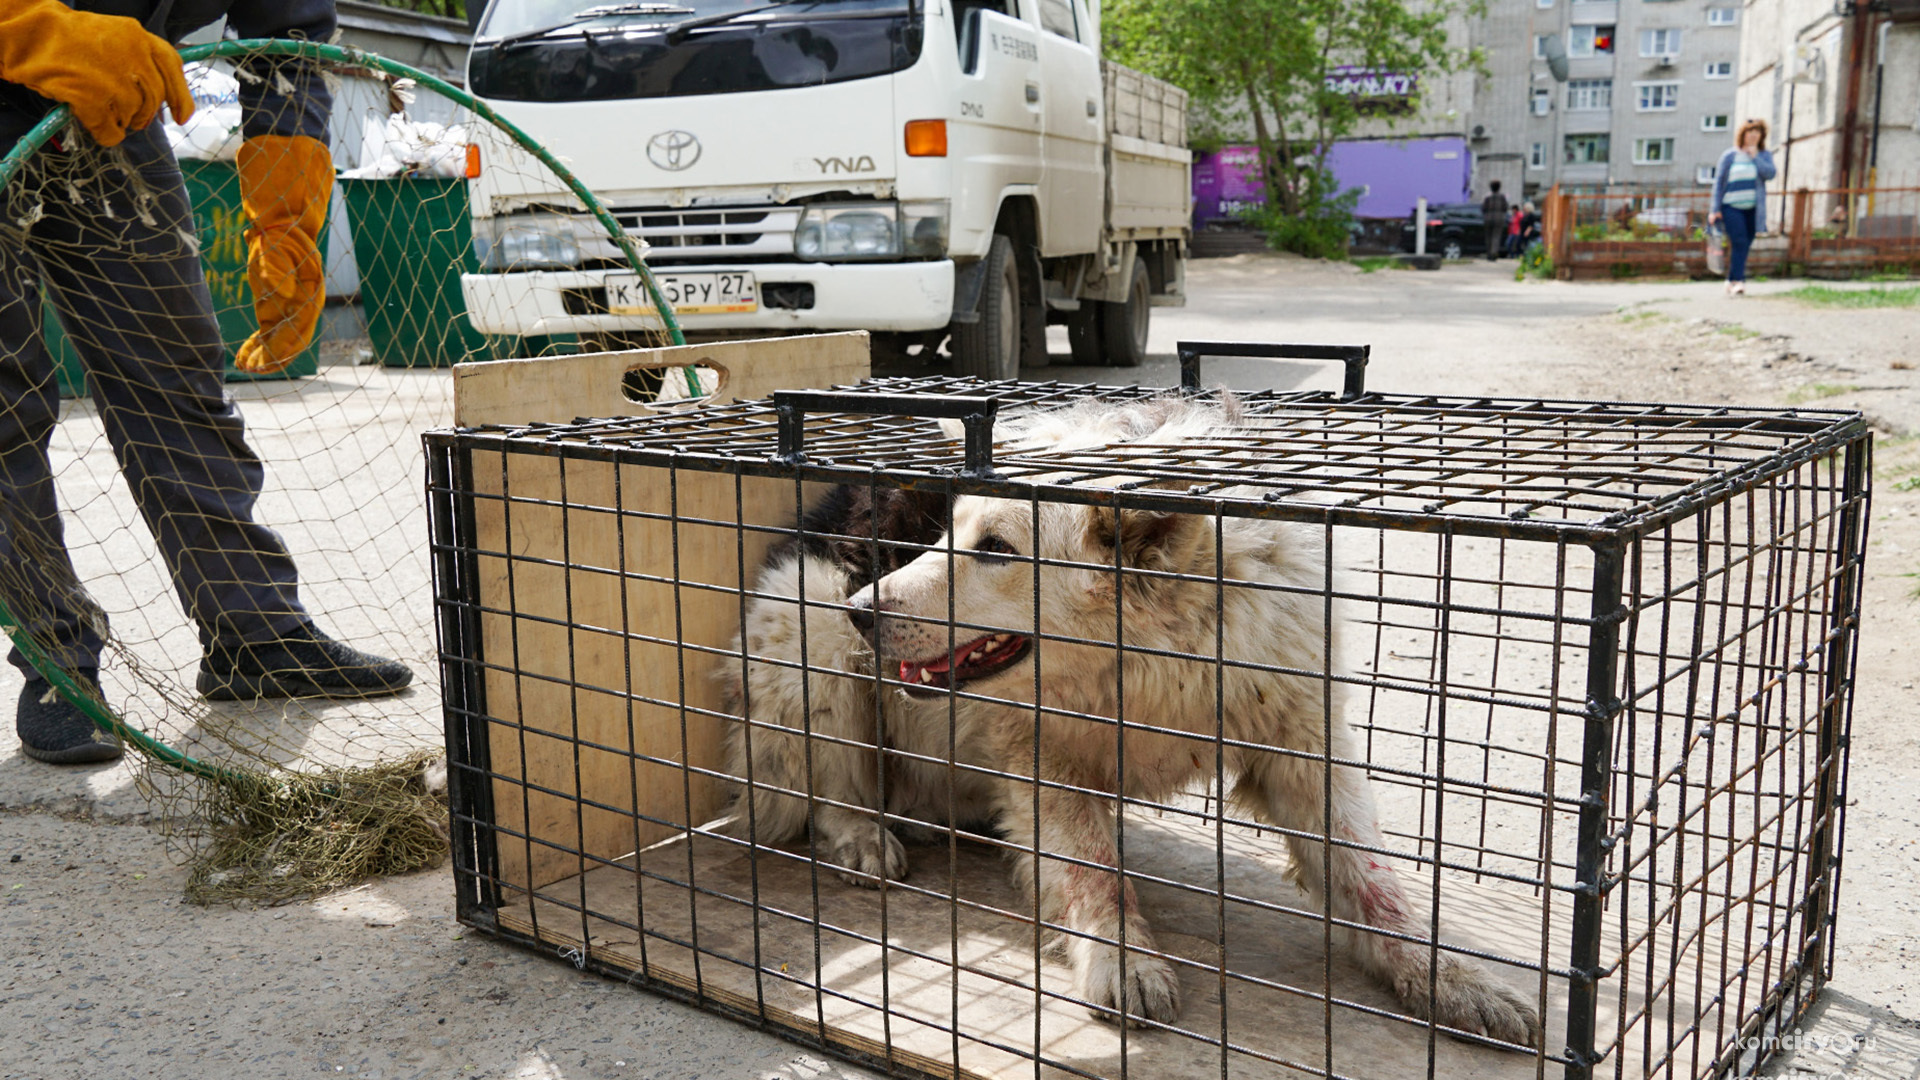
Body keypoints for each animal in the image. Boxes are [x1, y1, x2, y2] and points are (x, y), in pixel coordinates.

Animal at [721, 395, 1543, 1045]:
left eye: (995, 550)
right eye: (945, 534)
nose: (862, 610)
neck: (1152, 657)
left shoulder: (1303, 744)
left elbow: (1375, 883)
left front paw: (1446, 975)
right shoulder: (1044, 754)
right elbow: (1094, 874)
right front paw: (1122, 957)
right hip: (804, 621)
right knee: (824, 786)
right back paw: (863, 834)